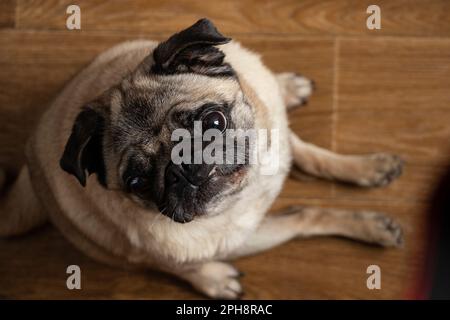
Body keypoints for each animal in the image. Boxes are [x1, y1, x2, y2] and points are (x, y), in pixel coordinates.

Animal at [0, 19, 404, 300]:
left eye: (213, 121)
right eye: (137, 182)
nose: (180, 169)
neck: (247, 190)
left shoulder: (271, 131)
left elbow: (312, 157)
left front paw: (368, 169)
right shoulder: (244, 237)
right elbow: (303, 217)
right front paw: (368, 224)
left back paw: (288, 86)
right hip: (110, 242)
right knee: (158, 262)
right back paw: (212, 278)